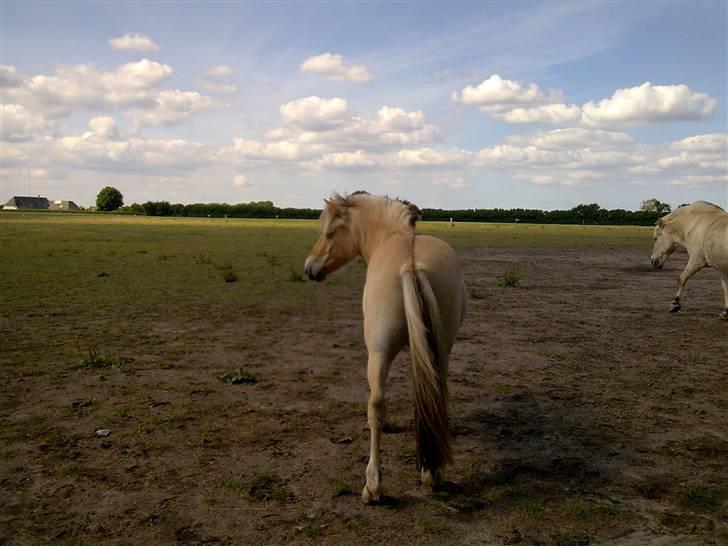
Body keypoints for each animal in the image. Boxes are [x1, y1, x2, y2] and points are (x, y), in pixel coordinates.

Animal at [302, 190, 466, 502]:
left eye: (330, 232)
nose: (309, 268)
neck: (392, 236)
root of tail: (411, 264)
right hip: (440, 350)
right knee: (436, 393)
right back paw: (433, 472)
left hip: (377, 354)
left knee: (375, 404)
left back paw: (373, 485)